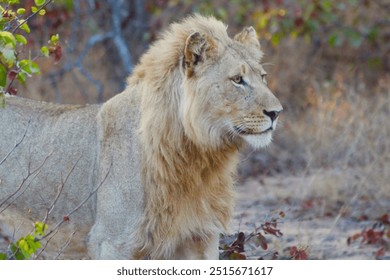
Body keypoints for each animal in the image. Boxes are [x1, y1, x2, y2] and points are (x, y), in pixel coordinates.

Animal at [0, 14, 280, 260]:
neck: (195, 158)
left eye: (263, 77)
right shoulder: (111, 242)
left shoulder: (200, 237)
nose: (277, 112)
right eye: (237, 80)